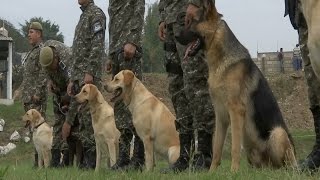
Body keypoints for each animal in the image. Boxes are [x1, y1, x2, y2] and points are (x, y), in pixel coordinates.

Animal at [176, 0, 296, 172]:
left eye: (192, 22)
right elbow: (217, 147)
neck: (221, 62)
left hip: (278, 133)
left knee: (287, 167)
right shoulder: (220, 115)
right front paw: (212, 172)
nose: (174, 36)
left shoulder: (236, 111)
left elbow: (234, 147)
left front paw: (233, 172)